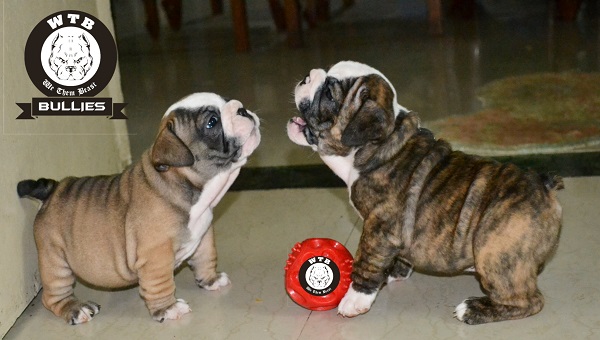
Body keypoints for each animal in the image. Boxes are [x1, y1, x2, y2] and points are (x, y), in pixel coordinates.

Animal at [18, 92, 260, 324]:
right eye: (211, 122)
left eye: (228, 100)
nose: (242, 109)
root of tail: (53, 189)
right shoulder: (156, 256)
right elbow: (161, 284)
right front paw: (168, 308)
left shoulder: (204, 234)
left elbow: (205, 257)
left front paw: (211, 280)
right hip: (55, 261)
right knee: (53, 296)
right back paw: (76, 309)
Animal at [288, 61, 564, 324]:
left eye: (329, 94)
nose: (306, 76)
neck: (378, 146)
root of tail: (545, 185)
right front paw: (395, 272)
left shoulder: (378, 229)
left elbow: (367, 262)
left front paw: (356, 299)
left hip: (494, 252)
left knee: (528, 300)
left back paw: (473, 309)